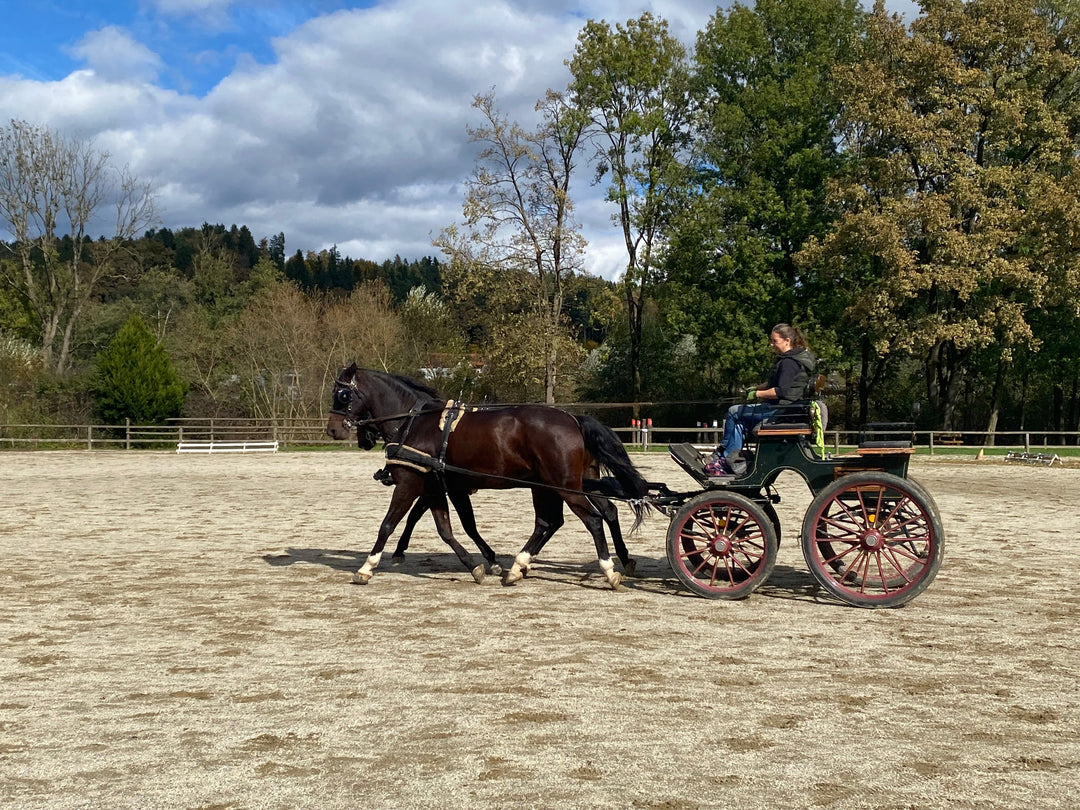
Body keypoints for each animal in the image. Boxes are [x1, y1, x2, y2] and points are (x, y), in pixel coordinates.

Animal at [324, 367, 643, 591]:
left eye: (342, 395)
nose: (332, 430)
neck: (414, 422)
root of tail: (574, 420)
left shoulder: (411, 483)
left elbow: (389, 524)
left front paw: (367, 567)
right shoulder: (440, 487)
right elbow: (449, 528)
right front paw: (480, 564)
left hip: (564, 486)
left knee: (592, 520)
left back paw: (609, 569)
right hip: (553, 486)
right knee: (561, 520)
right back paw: (519, 567)